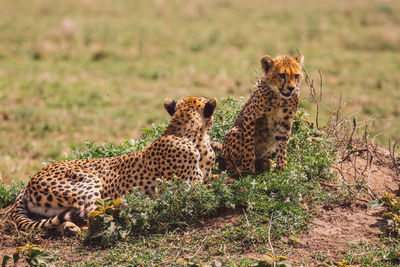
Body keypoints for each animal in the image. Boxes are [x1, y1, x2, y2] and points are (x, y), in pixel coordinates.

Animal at [5, 97, 216, 236]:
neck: (189, 134)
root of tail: (29, 181)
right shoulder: (190, 188)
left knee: (61, 221)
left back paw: (69, 227)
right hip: (89, 181)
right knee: (91, 216)